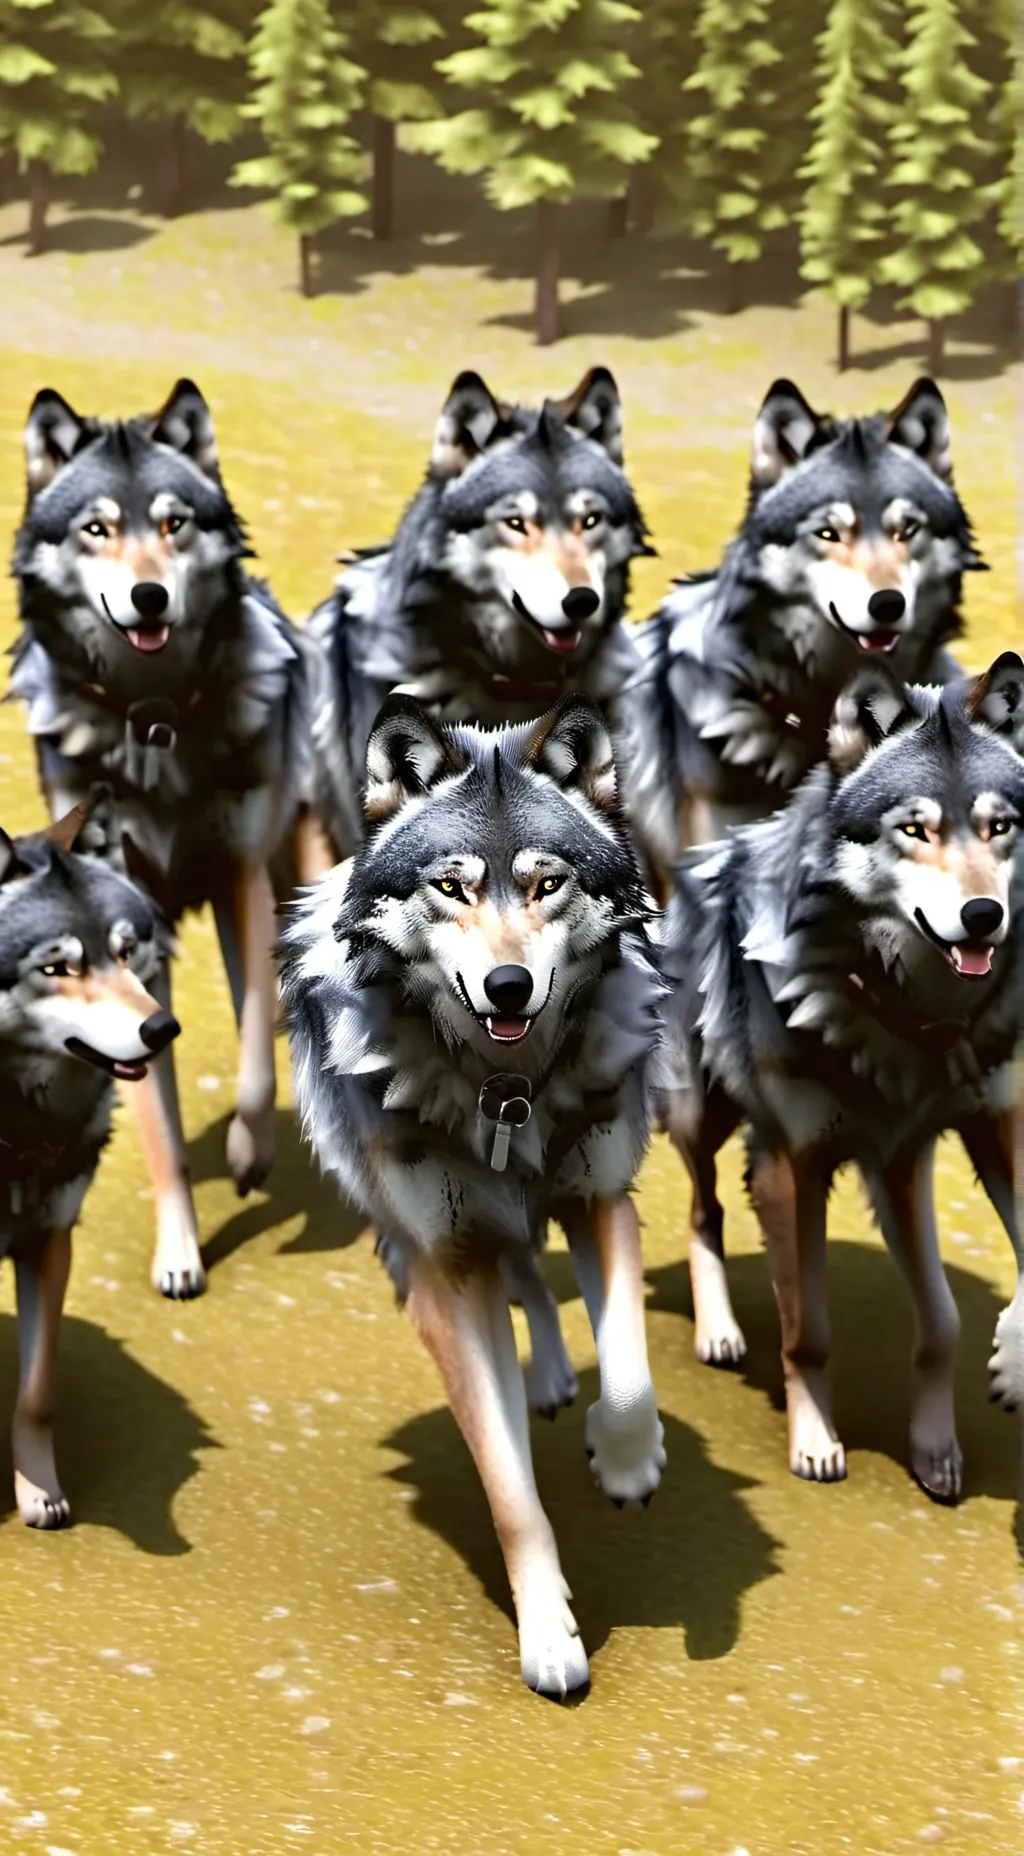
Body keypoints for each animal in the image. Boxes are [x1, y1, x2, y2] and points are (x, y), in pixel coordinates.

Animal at [10, 379, 309, 1299]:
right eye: (97, 528)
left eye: (173, 523)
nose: (150, 598)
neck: (156, 720)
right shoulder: (134, 941)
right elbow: (159, 1127)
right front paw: (179, 1252)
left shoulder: (242, 881)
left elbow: (254, 1067)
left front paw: (250, 1155)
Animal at [282, 694, 666, 1698]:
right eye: (451, 888)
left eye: (546, 885)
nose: (508, 985)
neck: (505, 1096)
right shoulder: (446, 1271)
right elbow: (510, 1490)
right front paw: (550, 1640)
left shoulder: (603, 1202)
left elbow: (629, 1382)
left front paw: (626, 1465)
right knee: (518, 1275)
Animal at [658, 653, 1024, 1495]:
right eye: (915, 829)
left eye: (1000, 827)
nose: (985, 917)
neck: (917, 1019)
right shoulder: (794, 1165)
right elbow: (809, 1335)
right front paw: (817, 1442)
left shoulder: (971, 1134)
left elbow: (945, 1323)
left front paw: (943, 1439)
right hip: (703, 1119)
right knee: (702, 1210)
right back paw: (719, 1333)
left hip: (886, 1171)